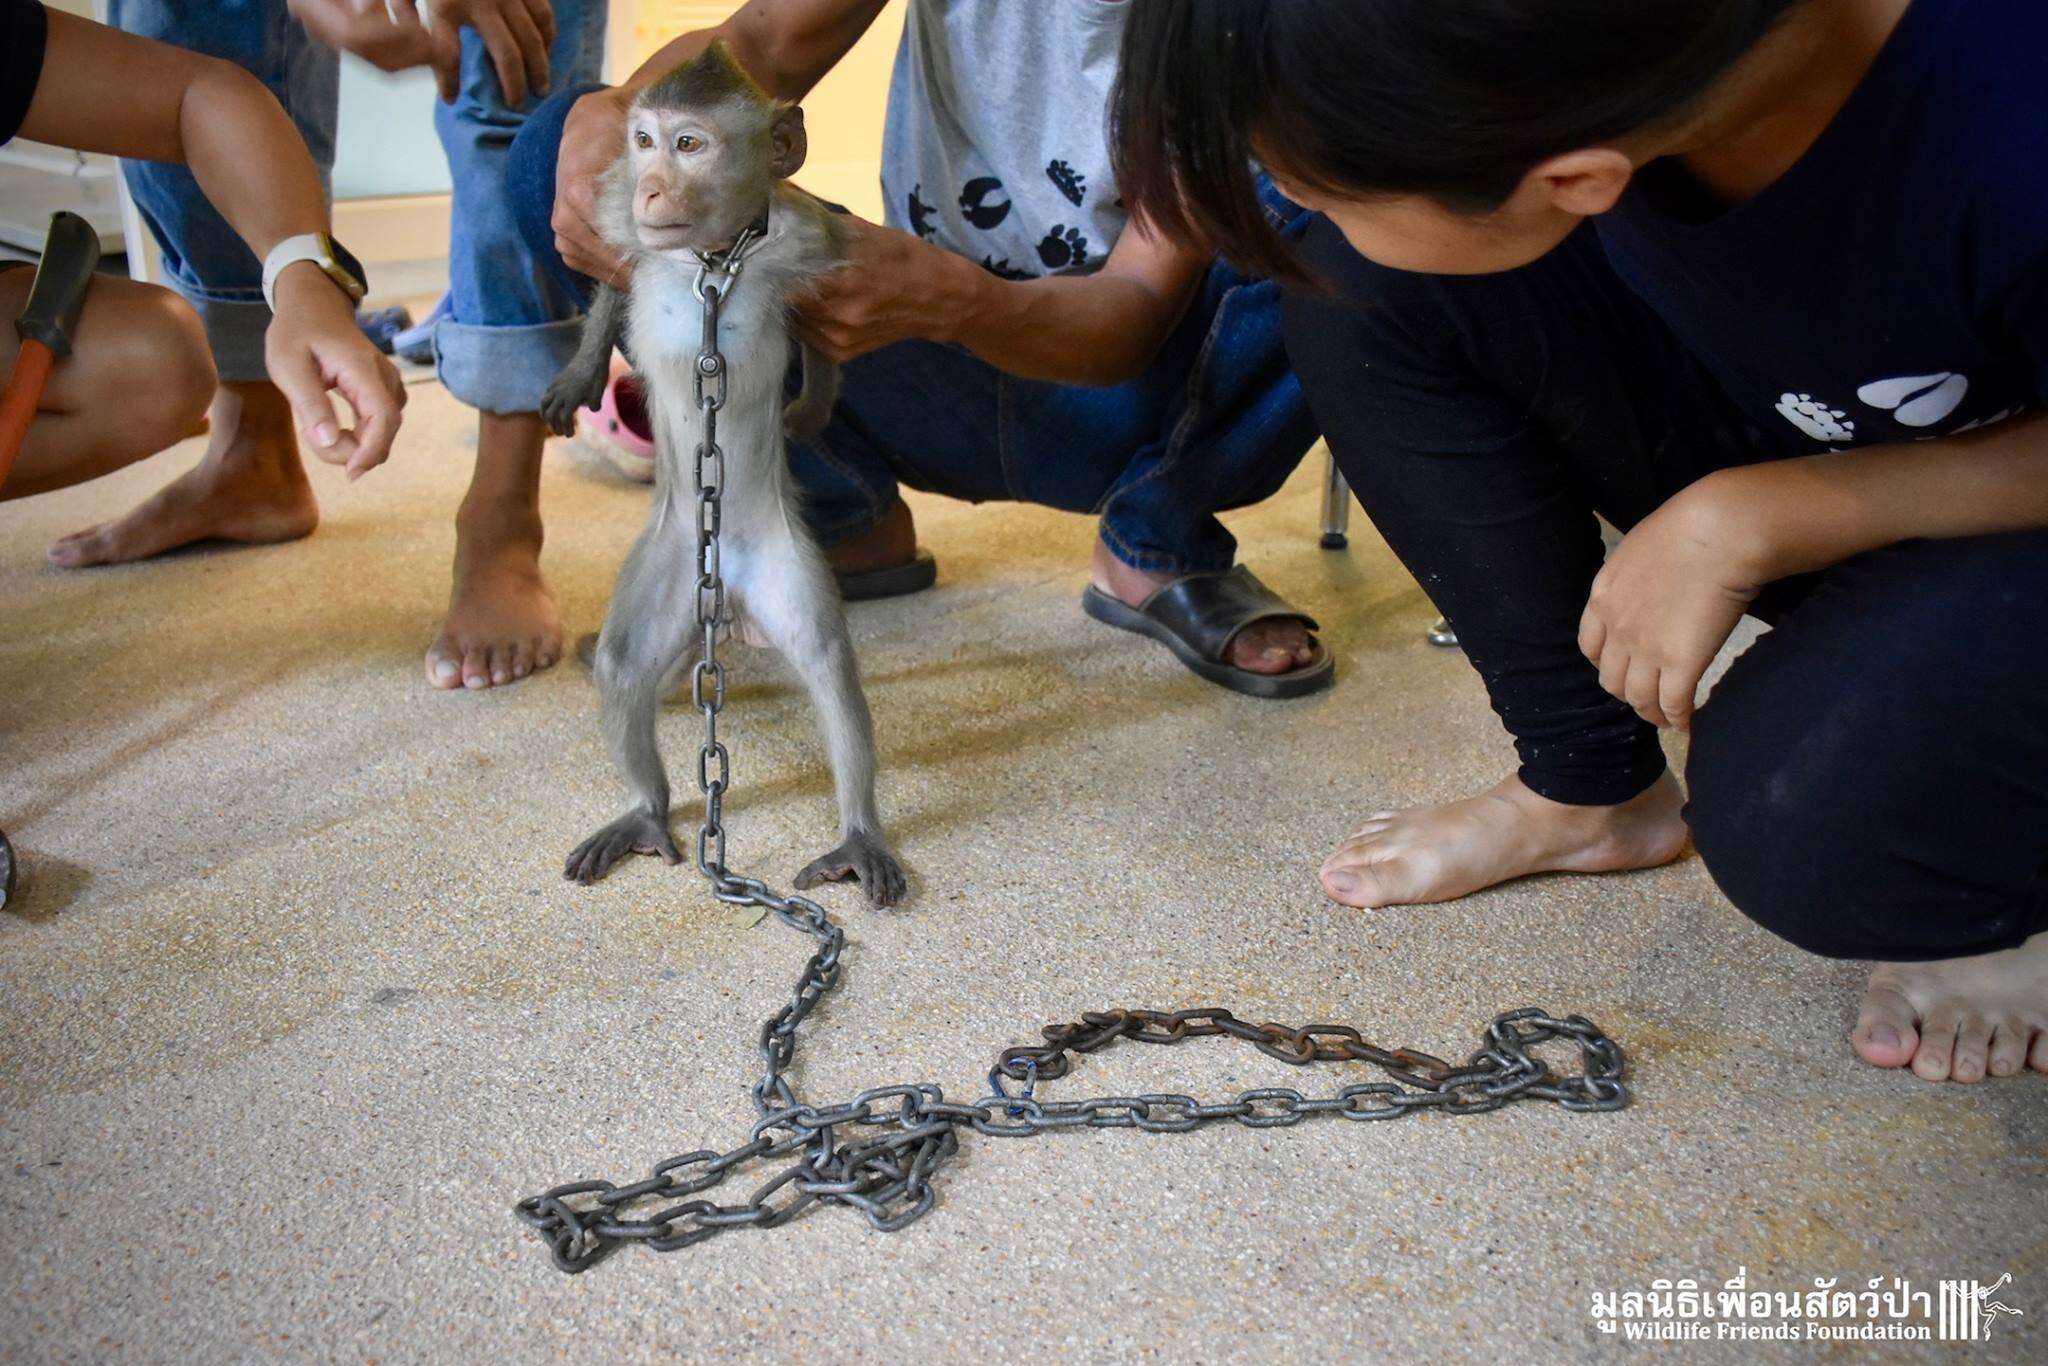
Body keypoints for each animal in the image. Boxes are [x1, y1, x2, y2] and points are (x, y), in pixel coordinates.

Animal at [544, 45, 905, 909]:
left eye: (690, 145)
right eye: (642, 140)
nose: (651, 186)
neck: (708, 257)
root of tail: (728, 602)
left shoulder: (806, 237)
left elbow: (830, 315)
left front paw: (810, 406)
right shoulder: (621, 222)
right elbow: (615, 276)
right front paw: (580, 371)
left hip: (780, 560)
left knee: (828, 663)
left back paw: (858, 833)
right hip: (676, 559)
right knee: (626, 660)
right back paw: (644, 811)